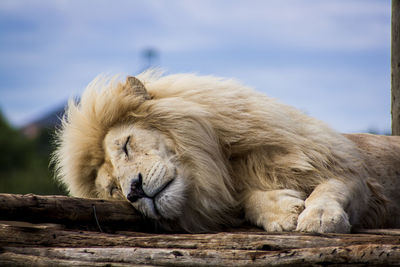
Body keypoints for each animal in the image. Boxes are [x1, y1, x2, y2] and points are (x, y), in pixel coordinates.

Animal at [53, 71, 400, 234]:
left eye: (125, 145)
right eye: (112, 189)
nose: (134, 191)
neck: (222, 165)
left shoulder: (353, 174)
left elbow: (331, 189)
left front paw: (320, 217)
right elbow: (248, 201)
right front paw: (281, 212)